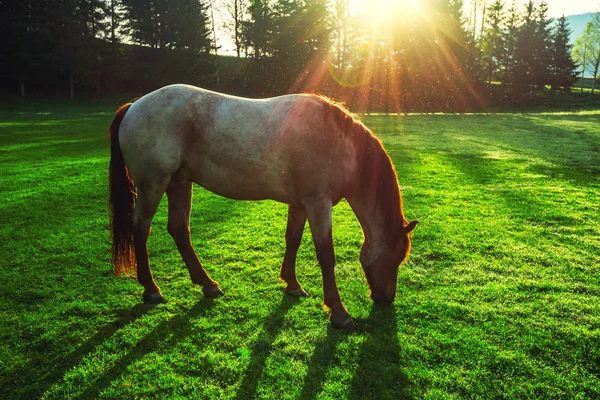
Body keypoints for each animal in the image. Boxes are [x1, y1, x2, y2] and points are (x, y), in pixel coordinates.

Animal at [109, 83, 418, 328]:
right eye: (397, 257)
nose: (385, 299)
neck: (337, 142)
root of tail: (134, 105)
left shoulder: (301, 204)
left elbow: (293, 240)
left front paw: (292, 284)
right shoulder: (318, 204)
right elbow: (326, 256)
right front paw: (338, 312)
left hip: (179, 183)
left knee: (179, 229)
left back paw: (208, 285)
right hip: (154, 184)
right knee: (141, 228)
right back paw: (151, 289)